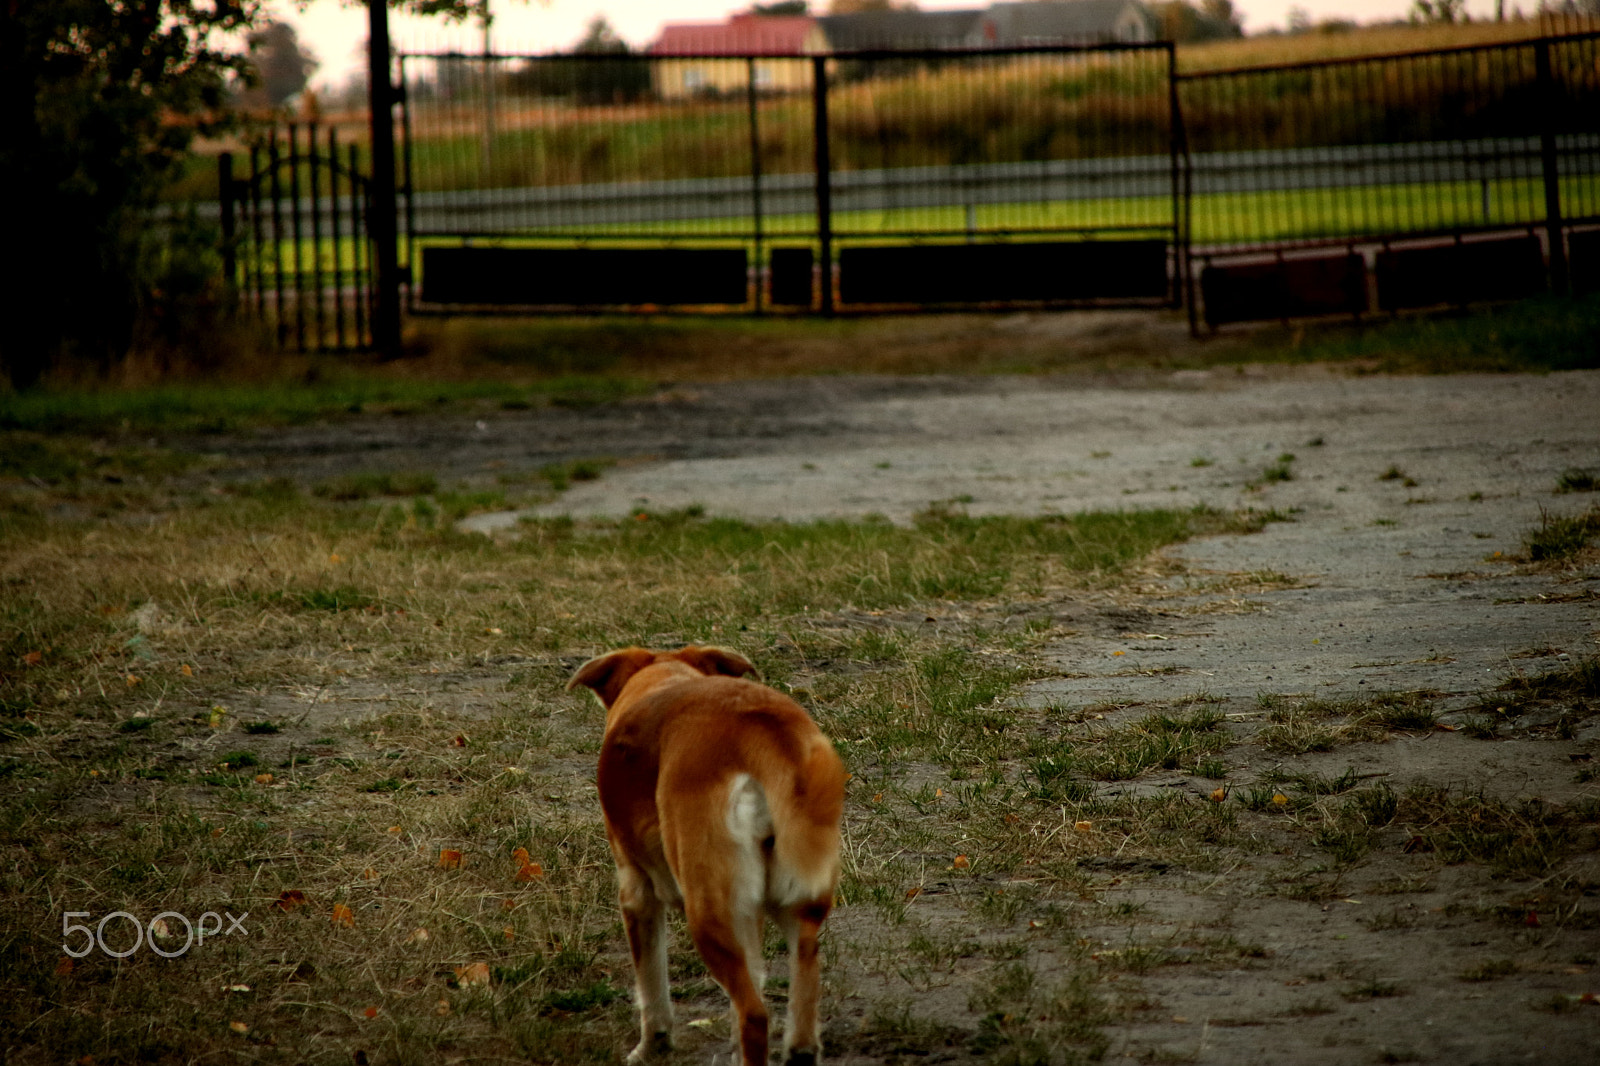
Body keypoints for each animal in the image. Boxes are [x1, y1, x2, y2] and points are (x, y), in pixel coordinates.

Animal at [566, 643, 844, 1056]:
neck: (665, 678)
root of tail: (756, 727)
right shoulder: (749, 913)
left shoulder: (636, 892)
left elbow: (652, 990)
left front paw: (650, 1049)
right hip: (795, 907)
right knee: (799, 1007)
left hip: (708, 912)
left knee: (754, 1016)